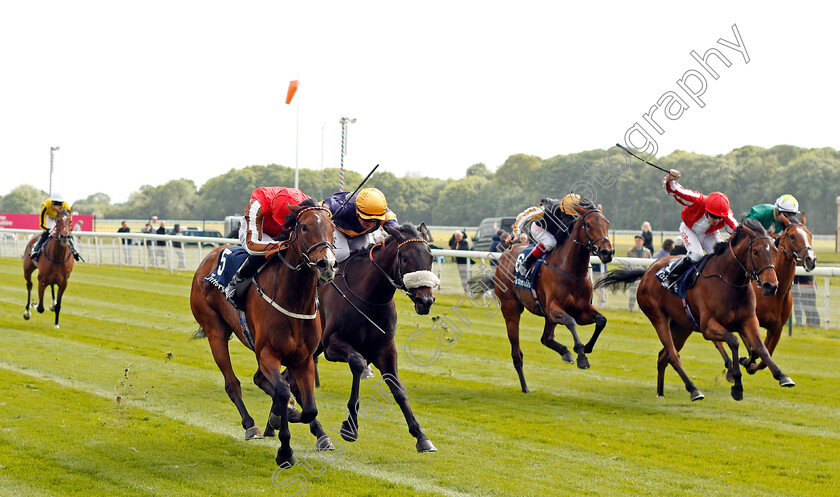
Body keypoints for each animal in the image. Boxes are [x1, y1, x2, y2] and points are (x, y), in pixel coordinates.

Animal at [190, 200, 334, 466]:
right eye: (305, 227)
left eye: (332, 227)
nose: (326, 264)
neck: (294, 299)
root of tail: (211, 255)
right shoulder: (268, 353)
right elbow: (282, 391)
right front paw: (284, 449)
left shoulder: (304, 358)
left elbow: (308, 408)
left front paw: (287, 417)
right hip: (215, 331)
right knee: (233, 383)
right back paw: (251, 425)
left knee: (263, 381)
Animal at [316, 223, 440, 452]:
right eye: (405, 258)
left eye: (431, 257)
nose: (425, 300)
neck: (369, 297)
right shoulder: (331, 344)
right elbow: (357, 362)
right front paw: (350, 425)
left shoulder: (385, 349)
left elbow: (398, 389)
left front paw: (421, 436)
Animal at [488, 198, 612, 392]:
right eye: (589, 225)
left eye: (607, 224)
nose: (607, 252)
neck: (571, 269)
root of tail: (506, 253)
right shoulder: (554, 308)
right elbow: (570, 321)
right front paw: (581, 355)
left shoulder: (582, 310)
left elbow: (601, 320)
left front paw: (586, 348)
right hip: (511, 309)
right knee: (517, 353)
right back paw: (525, 386)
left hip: (545, 315)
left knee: (546, 338)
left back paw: (565, 352)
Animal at [600, 219, 792, 402]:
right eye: (756, 252)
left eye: (775, 252)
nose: (771, 286)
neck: (729, 281)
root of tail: (647, 272)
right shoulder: (708, 326)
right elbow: (734, 341)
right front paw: (737, 385)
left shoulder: (749, 320)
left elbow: (760, 347)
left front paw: (782, 375)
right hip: (658, 317)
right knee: (673, 355)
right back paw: (694, 390)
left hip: (681, 327)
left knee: (663, 356)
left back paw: (660, 392)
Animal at [712, 213, 816, 376]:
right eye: (792, 236)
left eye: (810, 235)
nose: (811, 259)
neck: (776, 294)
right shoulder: (750, 319)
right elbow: (755, 349)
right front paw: (746, 361)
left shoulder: (776, 329)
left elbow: (764, 355)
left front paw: (751, 364)